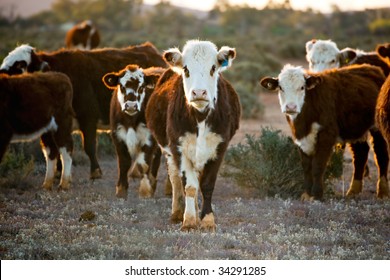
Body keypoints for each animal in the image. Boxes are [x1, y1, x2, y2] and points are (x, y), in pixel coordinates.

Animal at [0, 42, 166, 180]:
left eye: (19, 66)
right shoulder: (50, 127)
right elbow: (55, 149)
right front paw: (58, 174)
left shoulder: (88, 118)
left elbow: (89, 147)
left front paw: (95, 172)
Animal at [102, 64, 163, 199]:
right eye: (121, 86)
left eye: (141, 87)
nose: (131, 105)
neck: (130, 120)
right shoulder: (118, 135)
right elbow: (124, 162)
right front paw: (121, 190)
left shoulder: (149, 136)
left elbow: (143, 163)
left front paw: (145, 189)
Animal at [145, 40, 241, 232]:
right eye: (186, 69)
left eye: (213, 67)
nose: (199, 93)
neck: (200, 117)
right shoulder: (179, 149)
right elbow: (188, 186)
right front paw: (189, 220)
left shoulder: (219, 149)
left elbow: (207, 185)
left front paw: (207, 220)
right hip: (169, 152)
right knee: (176, 180)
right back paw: (177, 213)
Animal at [260, 63, 388, 199]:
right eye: (280, 87)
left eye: (302, 87)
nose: (291, 107)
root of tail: (371, 68)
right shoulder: (301, 138)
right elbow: (306, 166)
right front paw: (307, 193)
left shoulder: (326, 135)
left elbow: (318, 165)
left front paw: (317, 194)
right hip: (355, 127)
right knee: (361, 152)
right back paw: (353, 191)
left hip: (377, 127)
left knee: (381, 153)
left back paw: (383, 191)